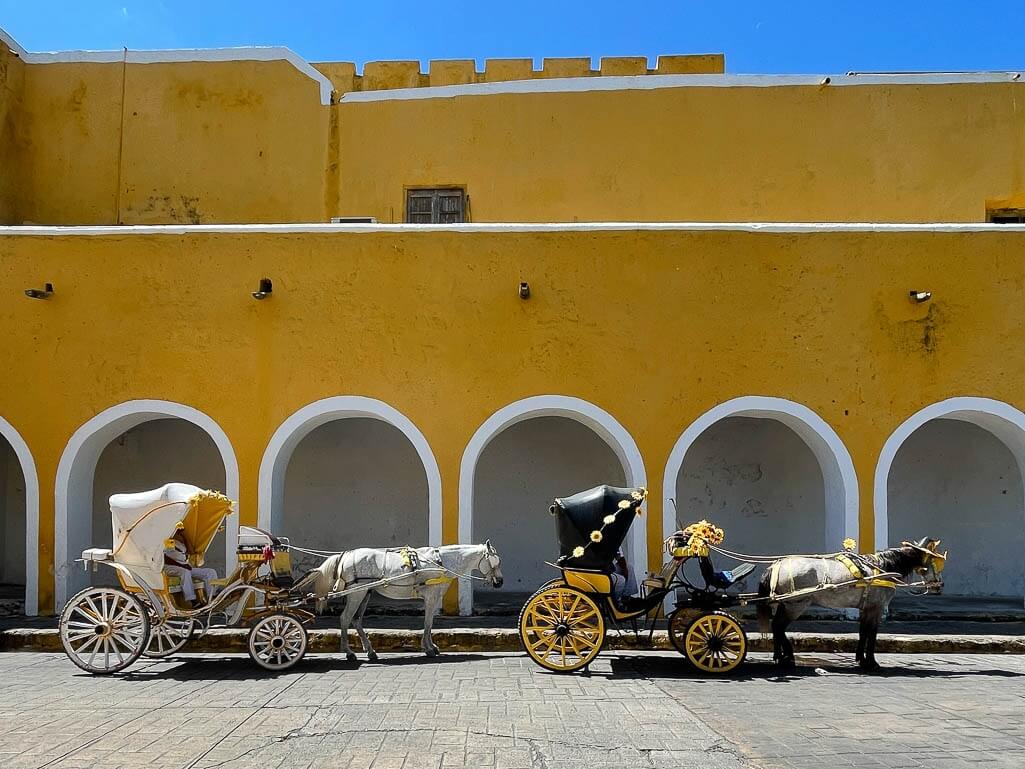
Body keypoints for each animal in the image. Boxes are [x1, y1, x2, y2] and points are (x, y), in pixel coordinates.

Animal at [301, 541, 502, 664]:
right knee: (345, 618)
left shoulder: (434, 597)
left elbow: (430, 623)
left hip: (365, 593)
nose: (500, 582)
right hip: (356, 593)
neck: (441, 562)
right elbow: (427, 623)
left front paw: (432, 647)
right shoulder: (431, 597)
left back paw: (370, 651)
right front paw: (429, 648)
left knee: (356, 620)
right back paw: (349, 652)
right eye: (494, 561)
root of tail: (347, 554)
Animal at [754, 537, 943, 672]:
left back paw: (780, 657)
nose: (938, 585)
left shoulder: (866, 608)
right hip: (796, 604)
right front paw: (871, 662)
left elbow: (863, 632)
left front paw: (861, 659)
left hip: (786, 603)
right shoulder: (876, 608)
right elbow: (872, 634)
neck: (884, 568)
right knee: (779, 626)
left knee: (776, 626)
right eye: (934, 562)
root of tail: (776, 565)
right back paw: (788, 657)